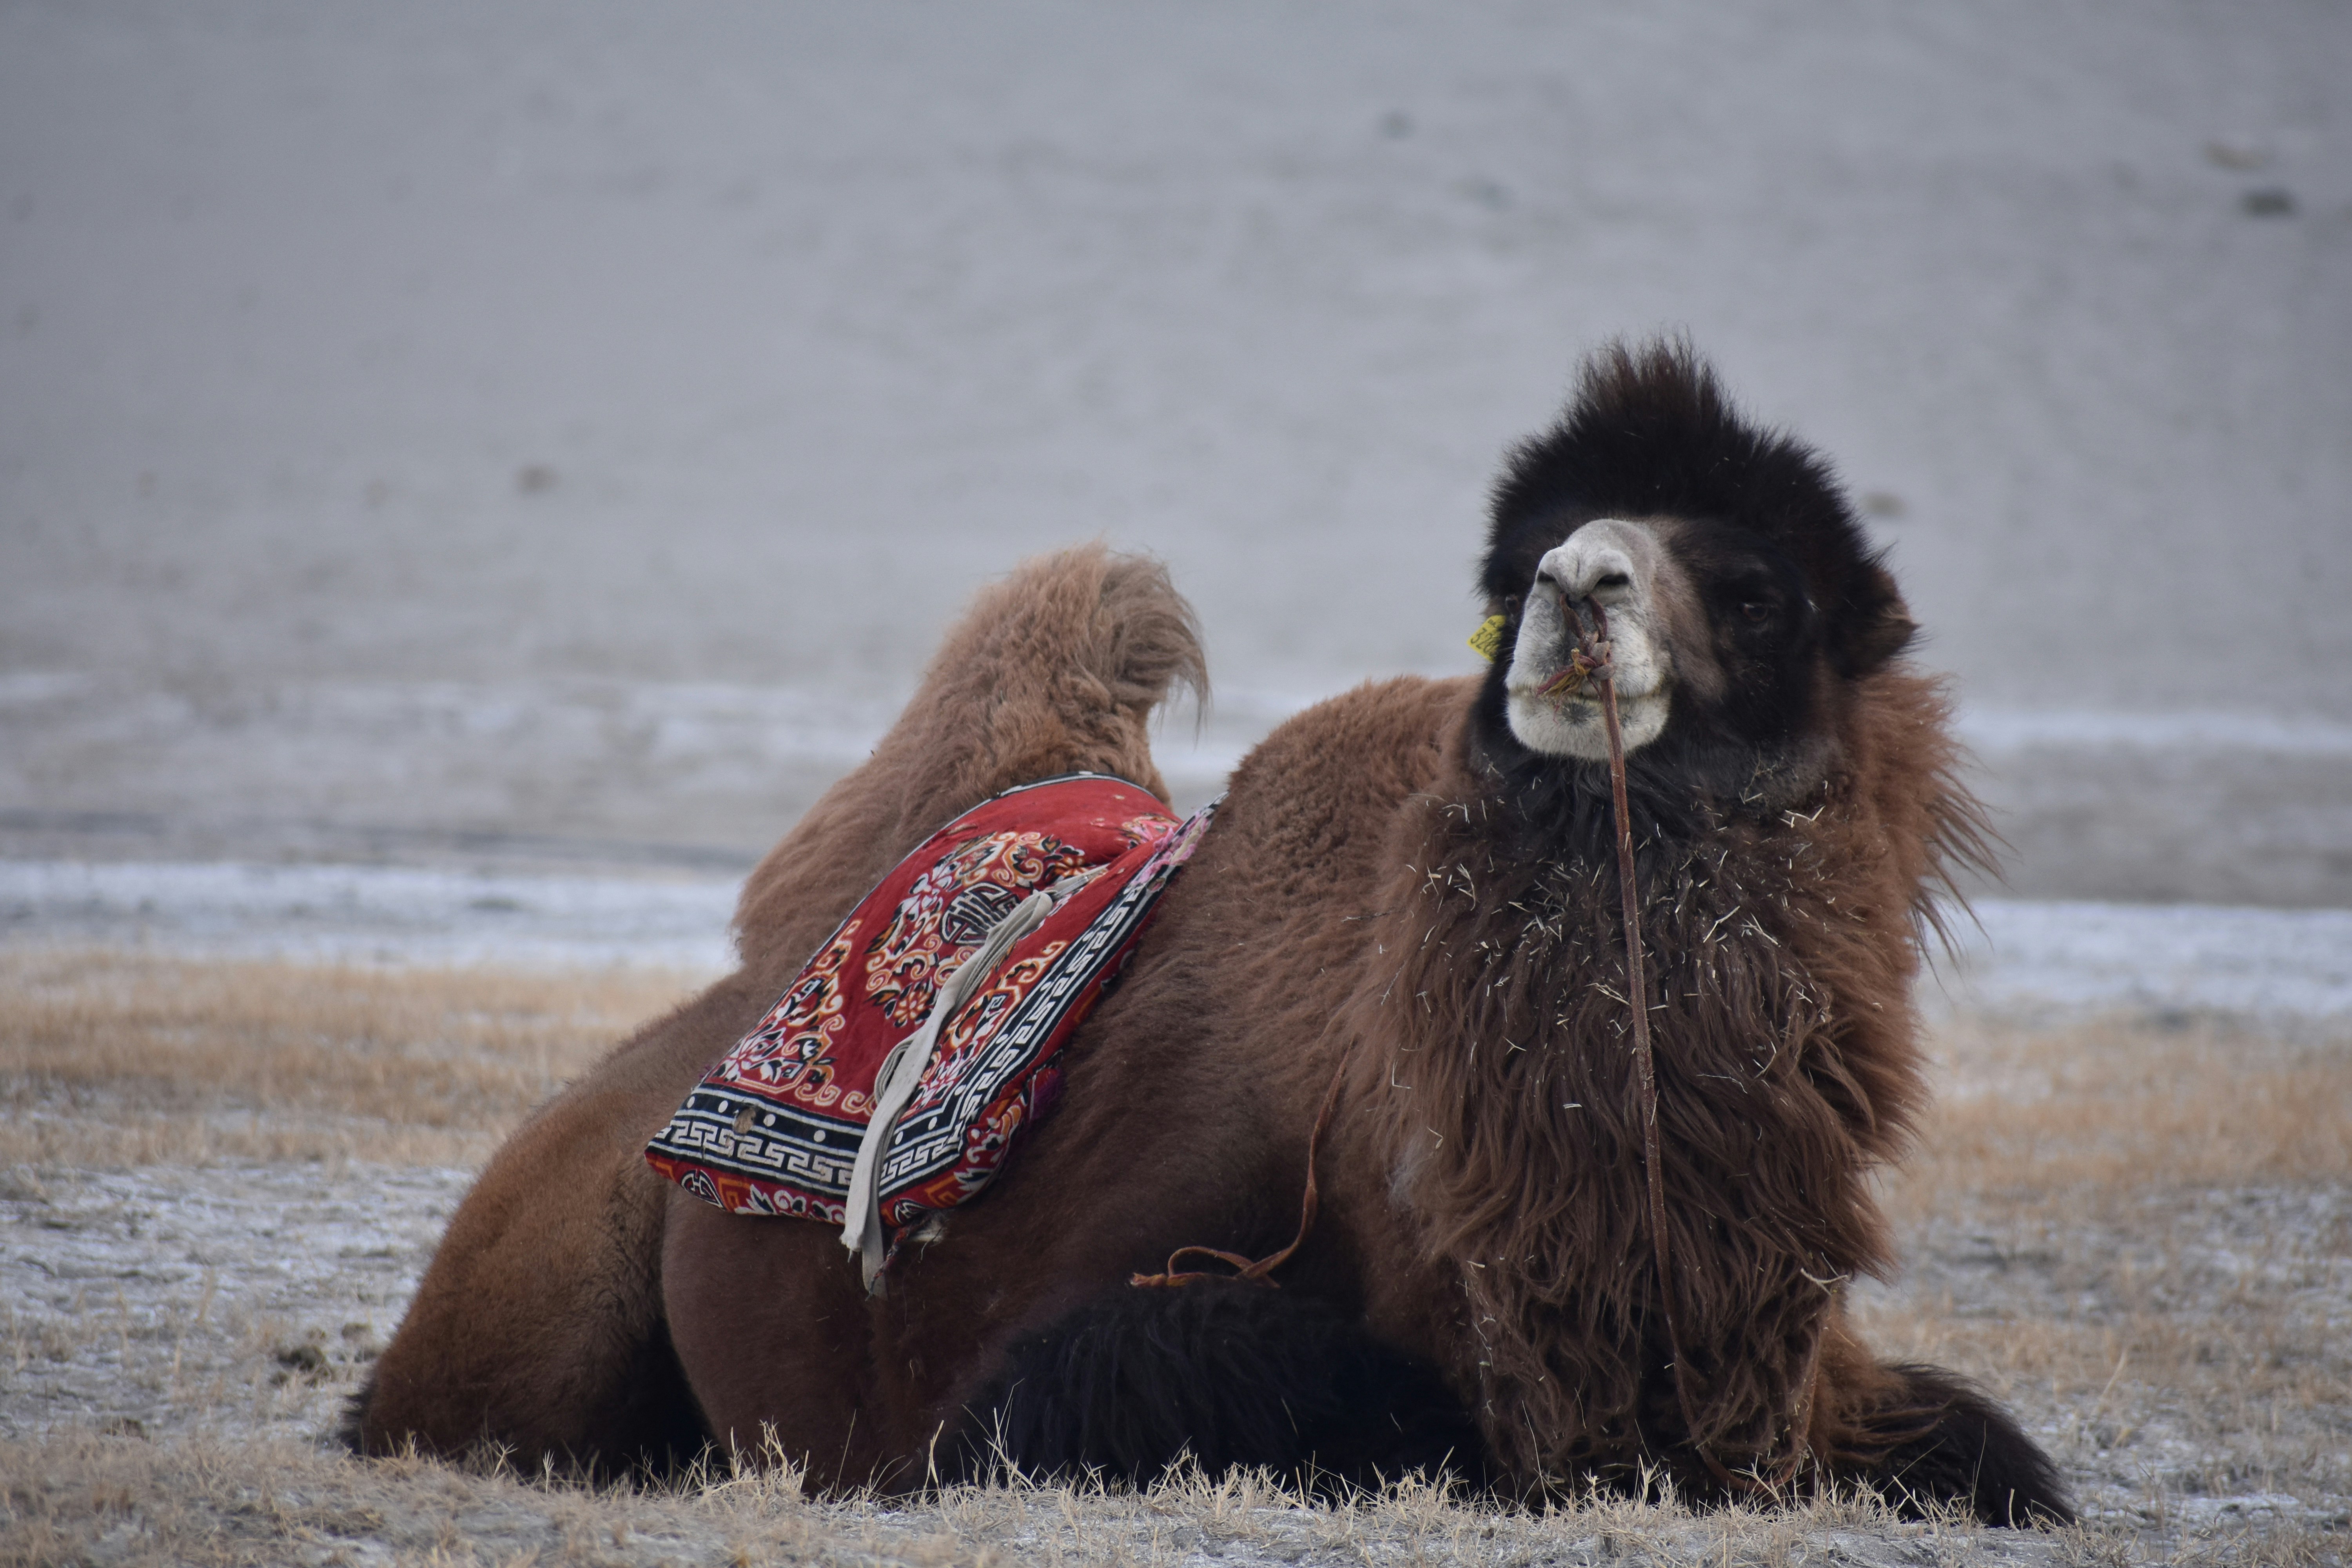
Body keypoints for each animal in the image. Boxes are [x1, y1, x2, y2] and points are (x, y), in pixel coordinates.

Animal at [349, 340, 2069, 1525]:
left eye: (1761, 589)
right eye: (1514, 570)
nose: (1577, 586)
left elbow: (1991, 1449)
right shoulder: (1092, 1349)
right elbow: (1212, 1387)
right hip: (533, 1307)